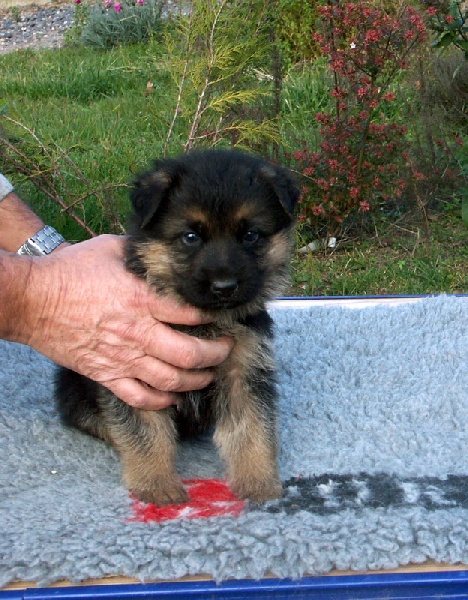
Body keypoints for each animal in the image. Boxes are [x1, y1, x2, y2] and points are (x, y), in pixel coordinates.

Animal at [56, 149, 299, 506]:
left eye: (251, 235)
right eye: (191, 237)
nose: (225, 287)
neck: (206, 322)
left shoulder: (245, 370)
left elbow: (252, 429)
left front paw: (258, 482)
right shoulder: (135, 373)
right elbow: (146, 432)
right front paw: (156, 484)